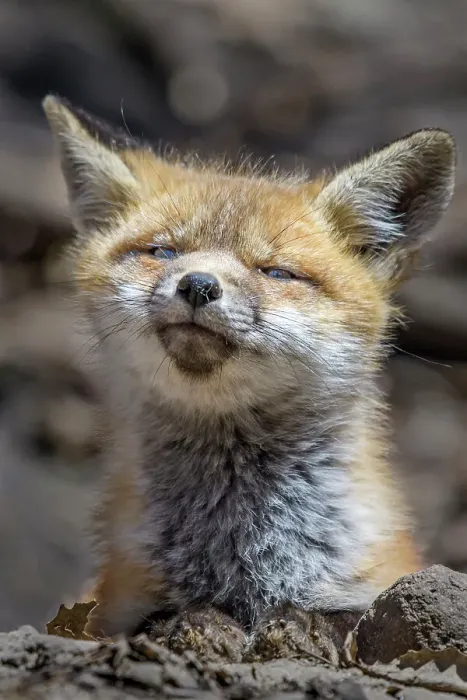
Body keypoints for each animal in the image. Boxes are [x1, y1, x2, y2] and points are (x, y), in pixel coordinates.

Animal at [42, 95, 455, 643]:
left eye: (277, 272)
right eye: (162, 251)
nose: (198, 285)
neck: (240, 553)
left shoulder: (369, 590)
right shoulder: (115, 605)